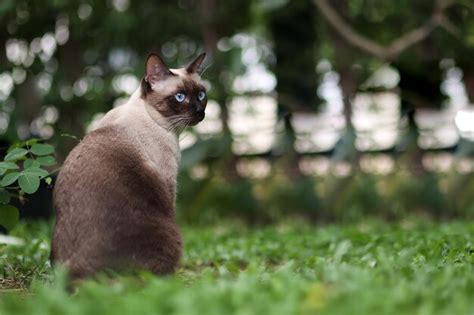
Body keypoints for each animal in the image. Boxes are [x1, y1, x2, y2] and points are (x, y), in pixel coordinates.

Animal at [51, 52, 207, 278]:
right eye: (180, 96)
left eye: (201, 95)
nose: (200, 112)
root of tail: (78, 267)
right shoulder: (168, 183)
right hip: (171, 235)